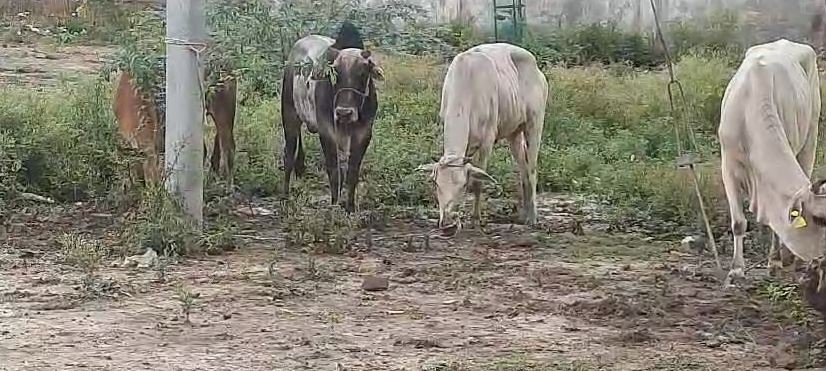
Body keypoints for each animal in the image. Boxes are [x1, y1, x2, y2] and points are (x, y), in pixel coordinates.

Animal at [418, 42, 548, 230]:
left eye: (463, 185)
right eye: (436, 183)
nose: (447, 222)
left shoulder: (487, 140)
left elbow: (478, 182)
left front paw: (475, 219)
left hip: (535, 122)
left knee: (531, 167)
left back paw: (532, 218)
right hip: (514, 132)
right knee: (523, 167)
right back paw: (523, 214)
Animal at [716, 38, 824, 284]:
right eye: (820, 220)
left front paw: (775, 261)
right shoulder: (728, 167)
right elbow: (738, 222)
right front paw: (736, 269)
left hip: (810, 137)